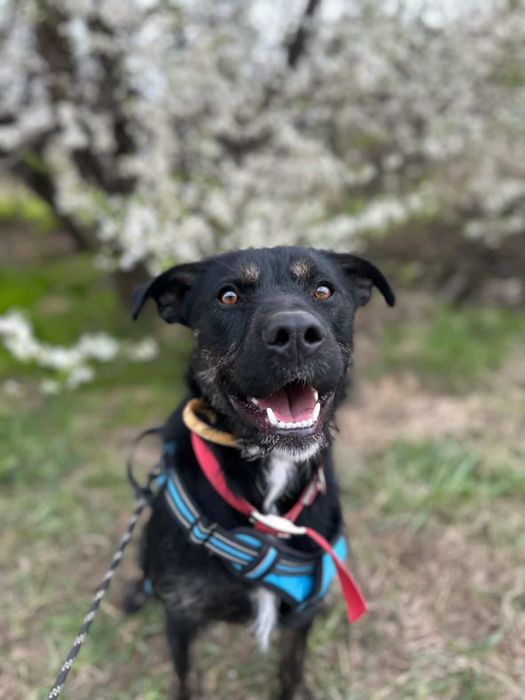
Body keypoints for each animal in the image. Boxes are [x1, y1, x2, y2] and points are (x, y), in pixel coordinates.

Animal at [126, 246, 395, 699]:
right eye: (228, 296)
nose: (296, 333)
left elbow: (290, 669)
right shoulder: (182, 617)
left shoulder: (300, 617)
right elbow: (188, 679)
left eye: (325, 290)